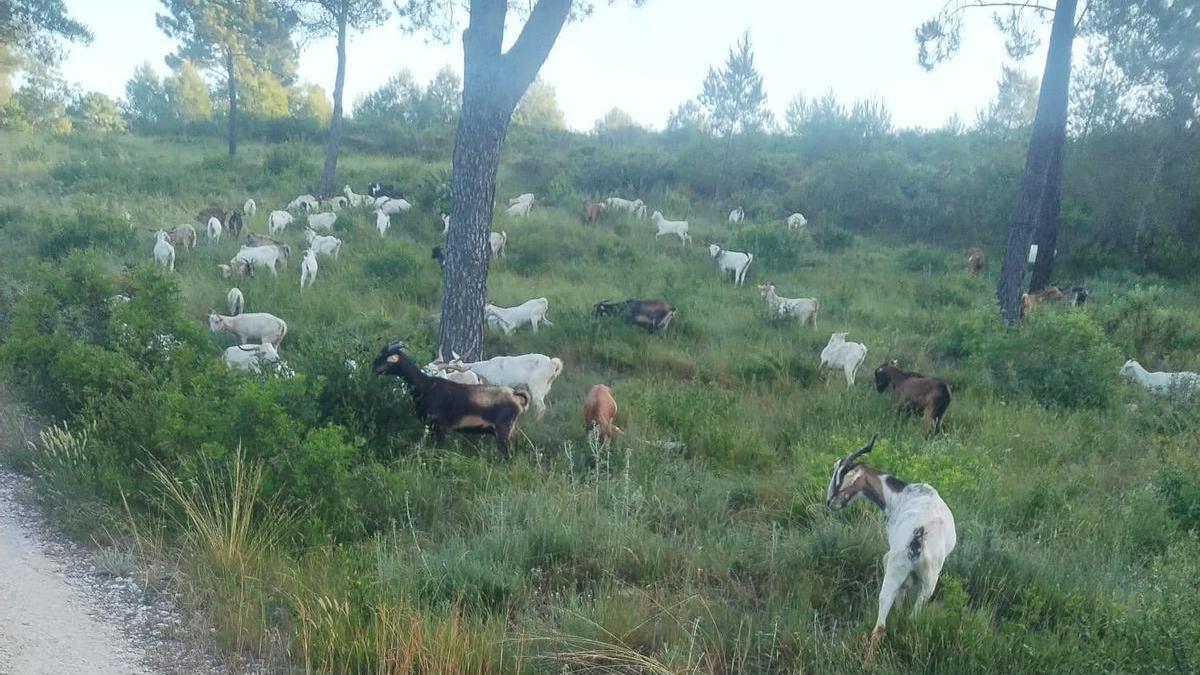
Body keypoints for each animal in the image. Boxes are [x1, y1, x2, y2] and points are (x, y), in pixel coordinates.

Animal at [373, 341, 530, 460]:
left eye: (387, 357)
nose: (374, 368)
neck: (426, 386)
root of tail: (515, 396)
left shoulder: (438, 424)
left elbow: (439, 448)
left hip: (503, 429)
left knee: (507, 457)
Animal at [826, 435, 956, 667]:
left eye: (840, 476)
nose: (829, 502)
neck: (900, 494)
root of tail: (918, 537)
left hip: (893, 570)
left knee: (880, 626)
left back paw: (867, 664)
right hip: (929, 583)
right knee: (911, 620)